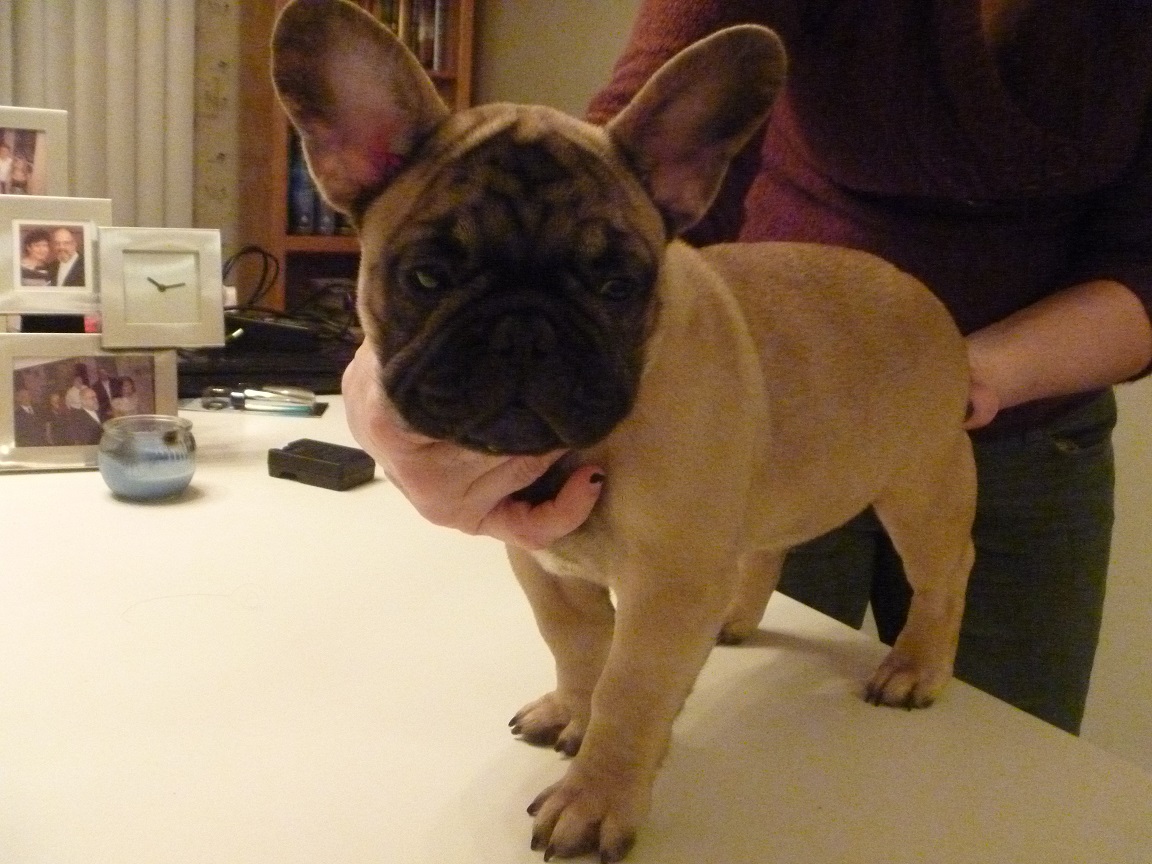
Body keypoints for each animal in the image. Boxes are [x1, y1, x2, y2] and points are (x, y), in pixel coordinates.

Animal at [272, 1, 976, 860]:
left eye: (616, 285)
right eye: (427, 276)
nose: (524, 332)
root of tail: (920, 292)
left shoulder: (667, 585)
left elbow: (631, 690)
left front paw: (599, 795)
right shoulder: (542, 563)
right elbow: (579, 648)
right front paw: (573, 713)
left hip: (923, 487)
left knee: (944, 575)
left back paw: (915, 666)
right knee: (764, 547)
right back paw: (736, 617)